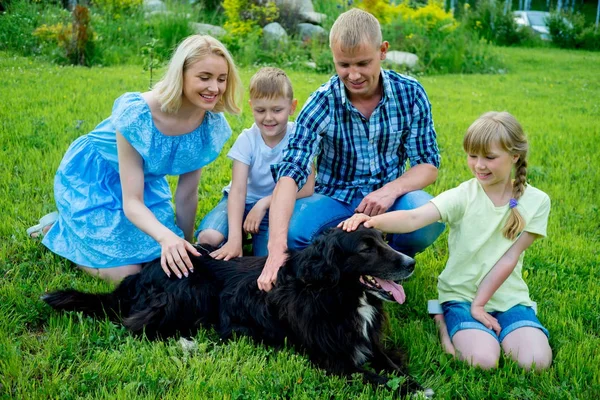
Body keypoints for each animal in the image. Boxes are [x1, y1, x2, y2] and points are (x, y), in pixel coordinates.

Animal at [43, 227, 426, 396]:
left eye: (385, 239)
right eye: (365, 248)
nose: (410, 263)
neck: (332, 291)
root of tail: (143, 273)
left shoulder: (366, 342)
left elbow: (392, 367)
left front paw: (415, 383)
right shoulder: (331, 360)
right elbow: (373, 377)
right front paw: (417, 391)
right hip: (193, 288)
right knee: (136, 326)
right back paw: (191, 343)